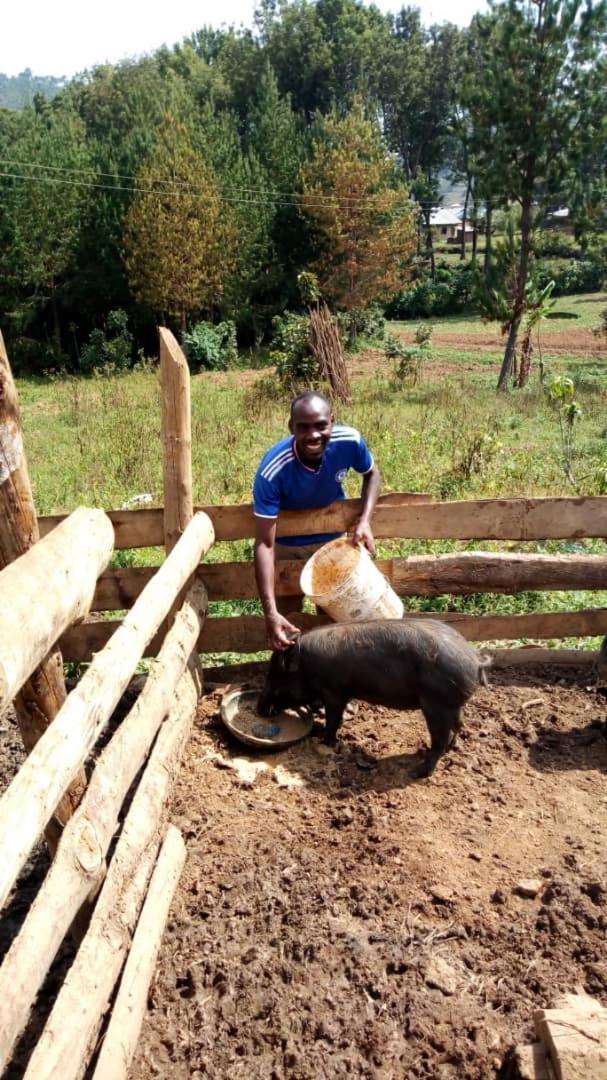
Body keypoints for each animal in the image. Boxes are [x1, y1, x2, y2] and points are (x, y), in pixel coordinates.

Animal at [257, 622, 488, 781]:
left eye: (275, 679)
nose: (259, 708)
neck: (306, 667)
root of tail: (475, 658)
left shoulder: (333, 692)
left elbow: (334, 719)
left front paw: (324, 741)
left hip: (437, 705)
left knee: (440, 739)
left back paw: (417, 772)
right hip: (453, 705)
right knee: (459, 724)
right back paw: (452, 747)